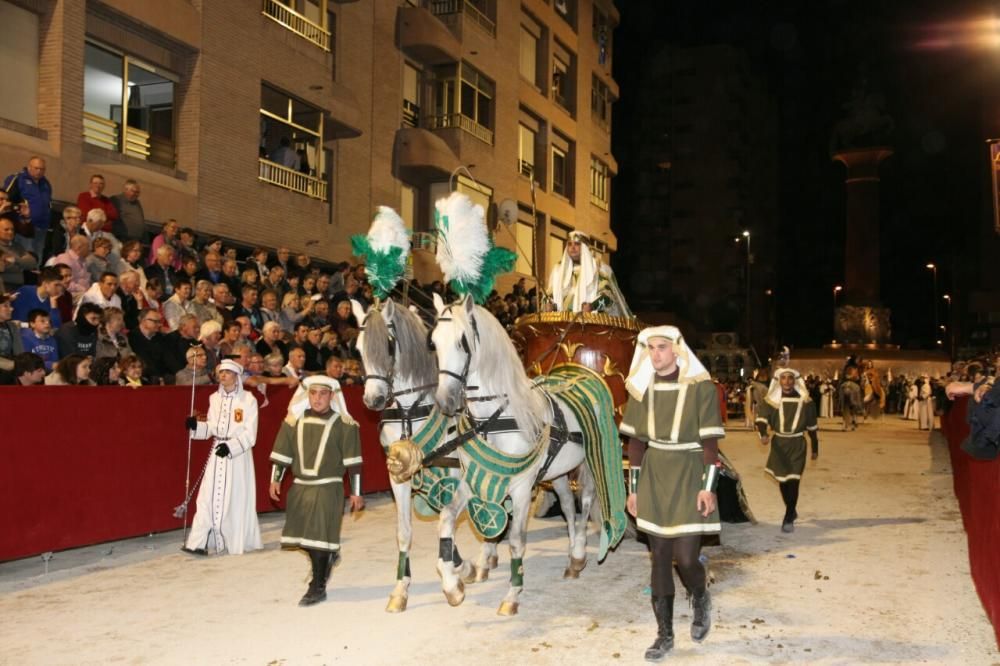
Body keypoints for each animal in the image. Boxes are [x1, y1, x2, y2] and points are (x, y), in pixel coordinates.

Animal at [354, 298, 478, 608]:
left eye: (388, 345)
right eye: (358, 349)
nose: (373, 399)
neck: (410, 411)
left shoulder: (450, 470)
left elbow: (447, 518)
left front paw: (456, 574)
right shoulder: (398, 476)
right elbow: (405, 531)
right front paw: (401, 588)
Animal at [430, 294, 624, 616]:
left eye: (462, 341)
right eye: (433, 342)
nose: (445, 401)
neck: (495, 419)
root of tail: (583, 376)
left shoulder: (521, 487)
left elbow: (516, 541)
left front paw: (511, 595)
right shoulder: (474, 479)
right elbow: (446, 519)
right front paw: (452, 585)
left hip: (588, 463)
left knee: (585, 503)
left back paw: (579, 552)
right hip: (557, 471)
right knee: (568, 506)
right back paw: (572, 555)